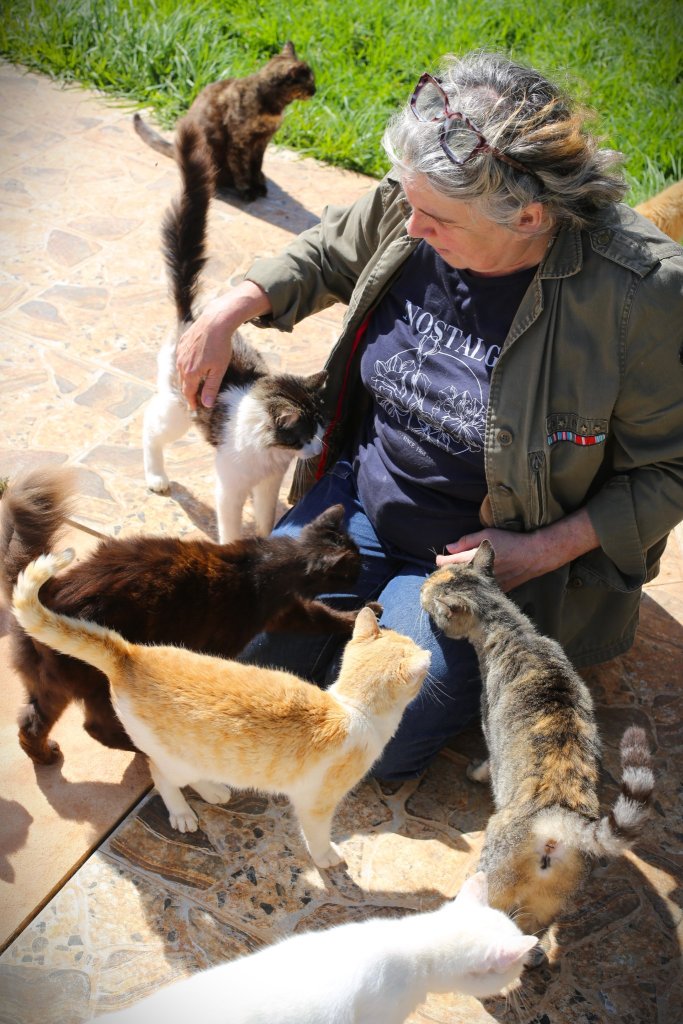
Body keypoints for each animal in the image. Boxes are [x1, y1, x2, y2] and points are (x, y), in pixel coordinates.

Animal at [0, 465, 374, 766]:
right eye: (355, 563)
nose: (366, 568)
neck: (269, 563)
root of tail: (45, 593)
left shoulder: (286, 612)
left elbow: (320, 614)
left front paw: (364, 614)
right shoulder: (235, 634)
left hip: (49, 685)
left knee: (29, 723)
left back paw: (45, 756)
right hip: (97, 678)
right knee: (97, 727)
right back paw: (141, 747)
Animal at [13, 549, 430, 864]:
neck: (353, 707)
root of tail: (130, 654)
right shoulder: (317, 803)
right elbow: (317, 834)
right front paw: (326, 859)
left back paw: (213, 789)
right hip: (171, 755)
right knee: (160, 774)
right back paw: (182, 811)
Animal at [133, 41, 315, 200]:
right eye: (310, 83)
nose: (315, 91)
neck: (273, 107)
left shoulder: (262, 142)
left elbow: (256, 167)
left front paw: (258, 186)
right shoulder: (239, 143)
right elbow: (241, 170)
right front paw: (248, 190)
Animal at [142, 119, 327, 543]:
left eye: (321, 426)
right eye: (305, 434)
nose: (320, 445)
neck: (271, 451)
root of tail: (192, 318)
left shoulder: (268, 484)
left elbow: (265, 518)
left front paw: (266, 539)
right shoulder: (230, 485)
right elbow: (229, 525)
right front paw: (234, 546)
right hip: (179, 409)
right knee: (149, 426)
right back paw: (156, 476)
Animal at [420, 540, 654, 934]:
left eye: (430, 588)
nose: (421, 585)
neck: (515, 631)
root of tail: (560, 818)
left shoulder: (489, 726)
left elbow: (489, 762)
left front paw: (476, 772)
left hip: (495, 866)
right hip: (548, 903)